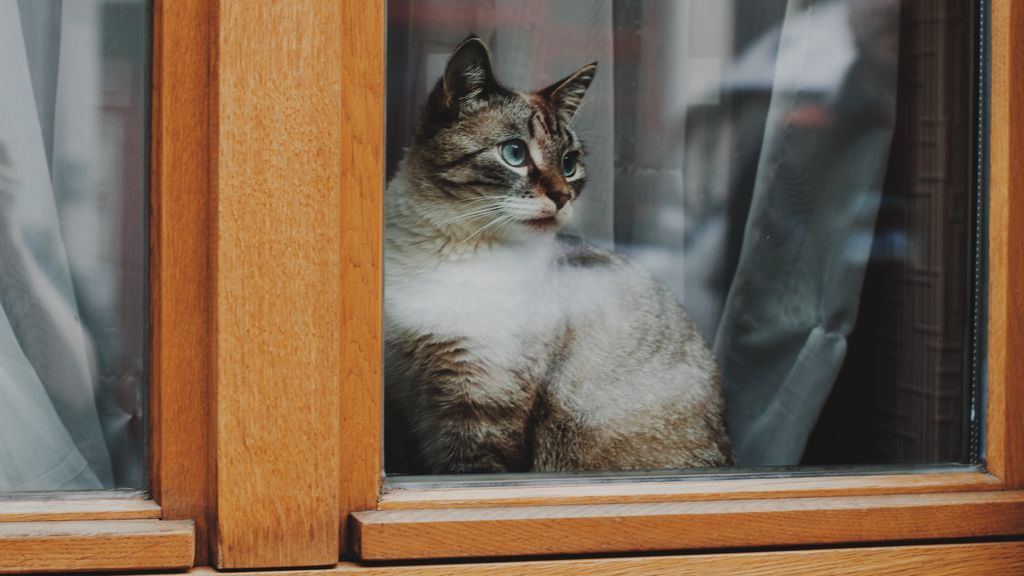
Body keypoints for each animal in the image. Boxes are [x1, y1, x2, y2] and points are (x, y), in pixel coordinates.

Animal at [385, 35, 729, 471]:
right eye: (514, 153)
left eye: (569, 164)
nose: (563, 197)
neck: (451, 250)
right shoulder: (404, 401)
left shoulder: (478, 413)